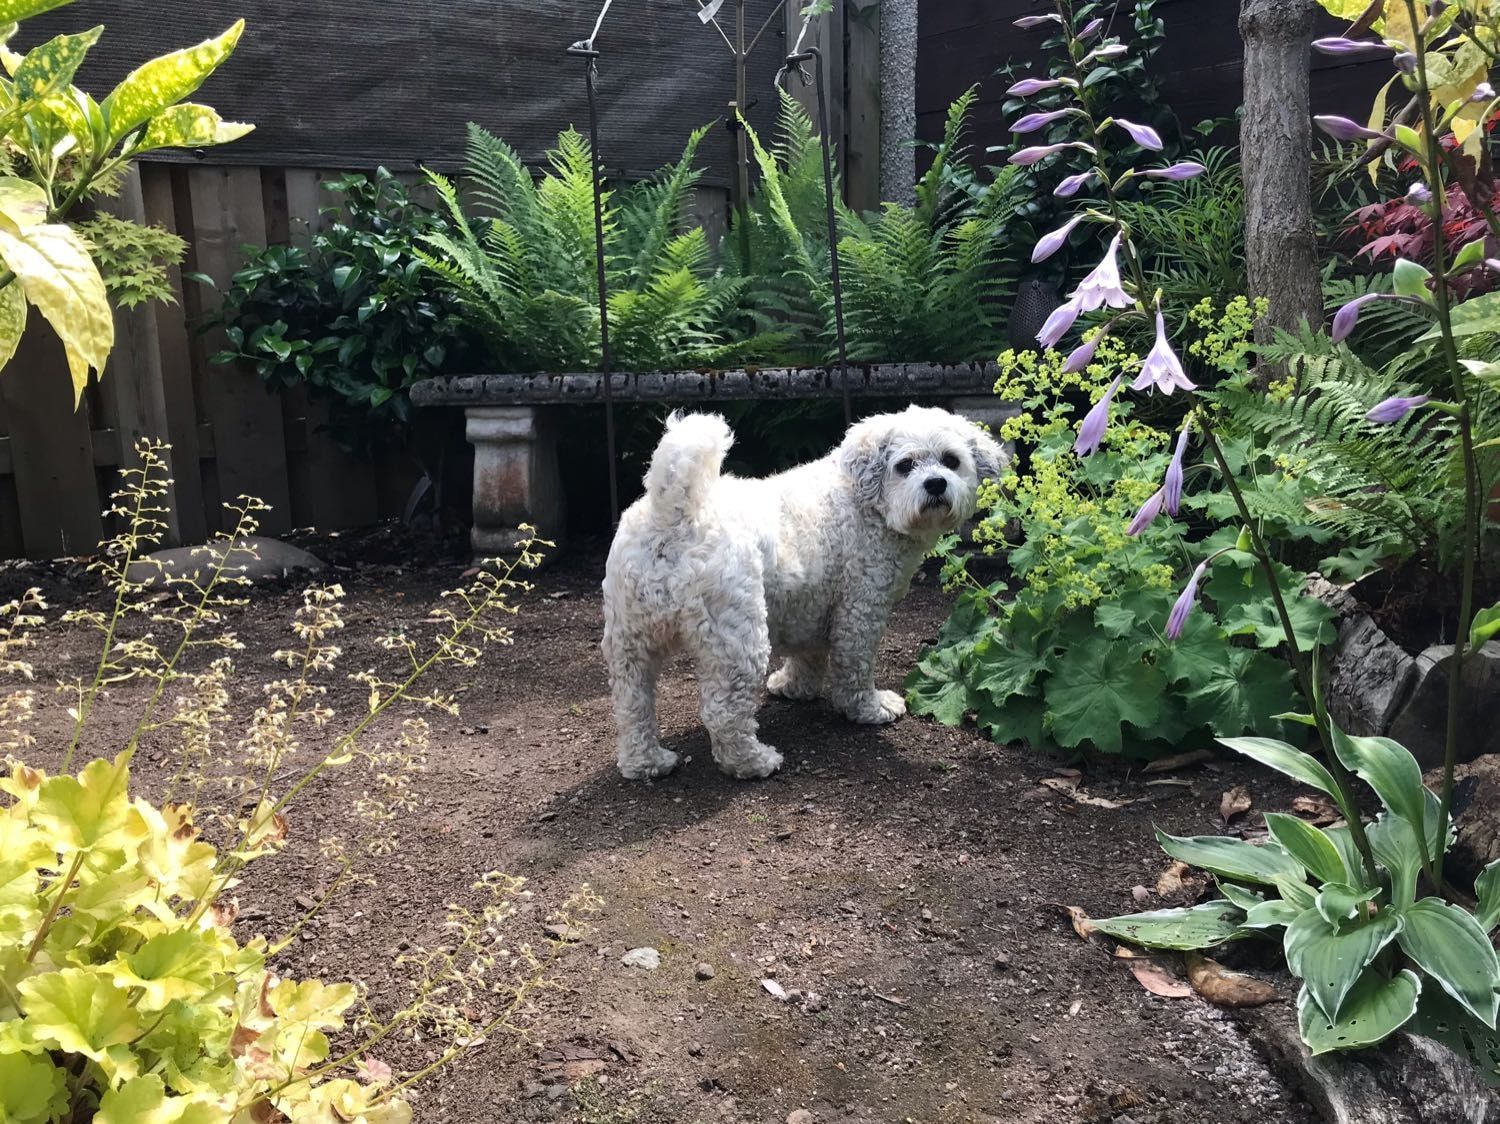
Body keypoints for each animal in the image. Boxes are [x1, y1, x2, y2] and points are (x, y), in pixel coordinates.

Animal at [601, 405, 1006, 781]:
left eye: (951, 461)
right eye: (905, 465)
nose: (936, 483)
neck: (863, 501)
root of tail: (673, 514)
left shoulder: (809, 603)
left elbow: (808, 655)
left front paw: (793, 687)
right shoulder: (861, 609)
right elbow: (854, 668)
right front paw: (870, 709)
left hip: (629, 646)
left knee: (632, 707)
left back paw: (647, 763)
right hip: (739, 644)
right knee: (723, 714)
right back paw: (754, 763)